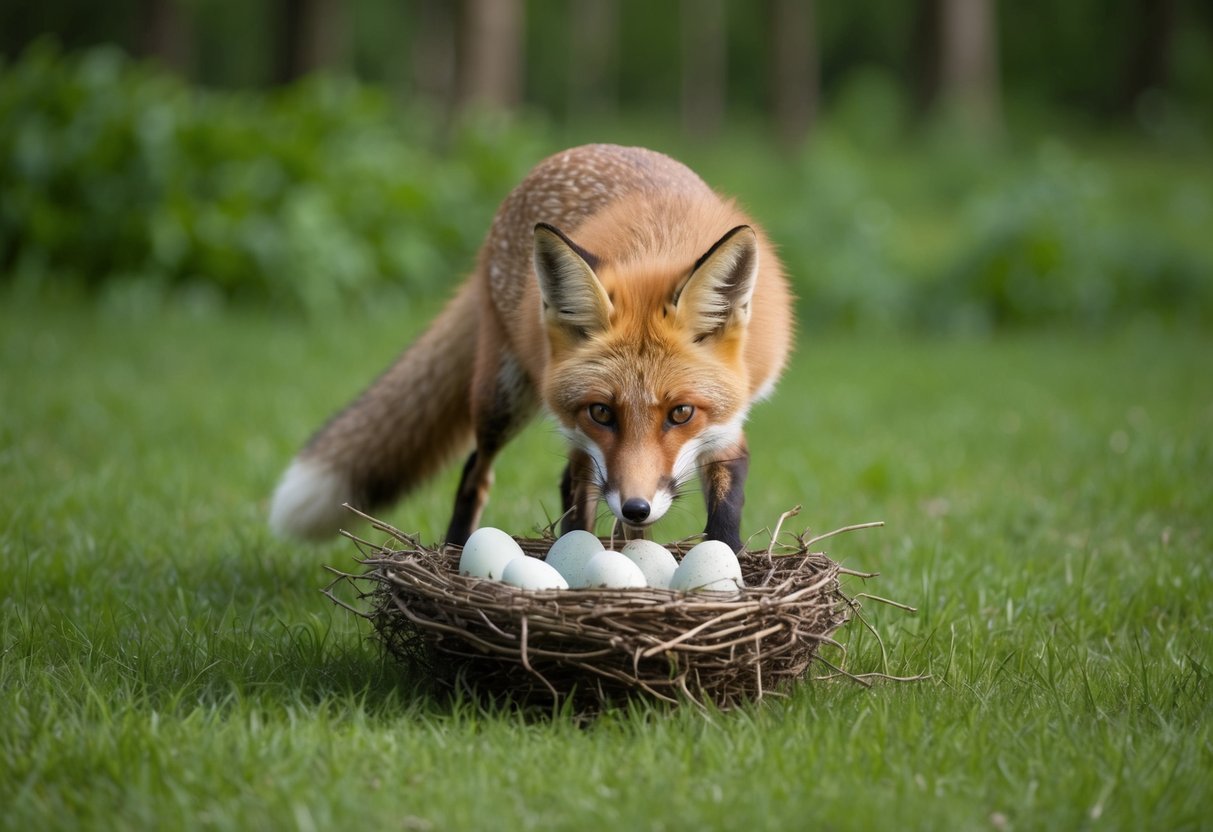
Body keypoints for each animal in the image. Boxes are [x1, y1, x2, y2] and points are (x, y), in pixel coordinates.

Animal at [269, 144, 793, 551]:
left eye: (681, 413)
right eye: (602, 412)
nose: (636, 506)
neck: (659, 243)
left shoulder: (728, 420)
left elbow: (726, 505)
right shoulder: (584, 437)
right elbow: (579, 519)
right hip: (503, 398)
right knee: (476, 471)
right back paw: (457, 550)